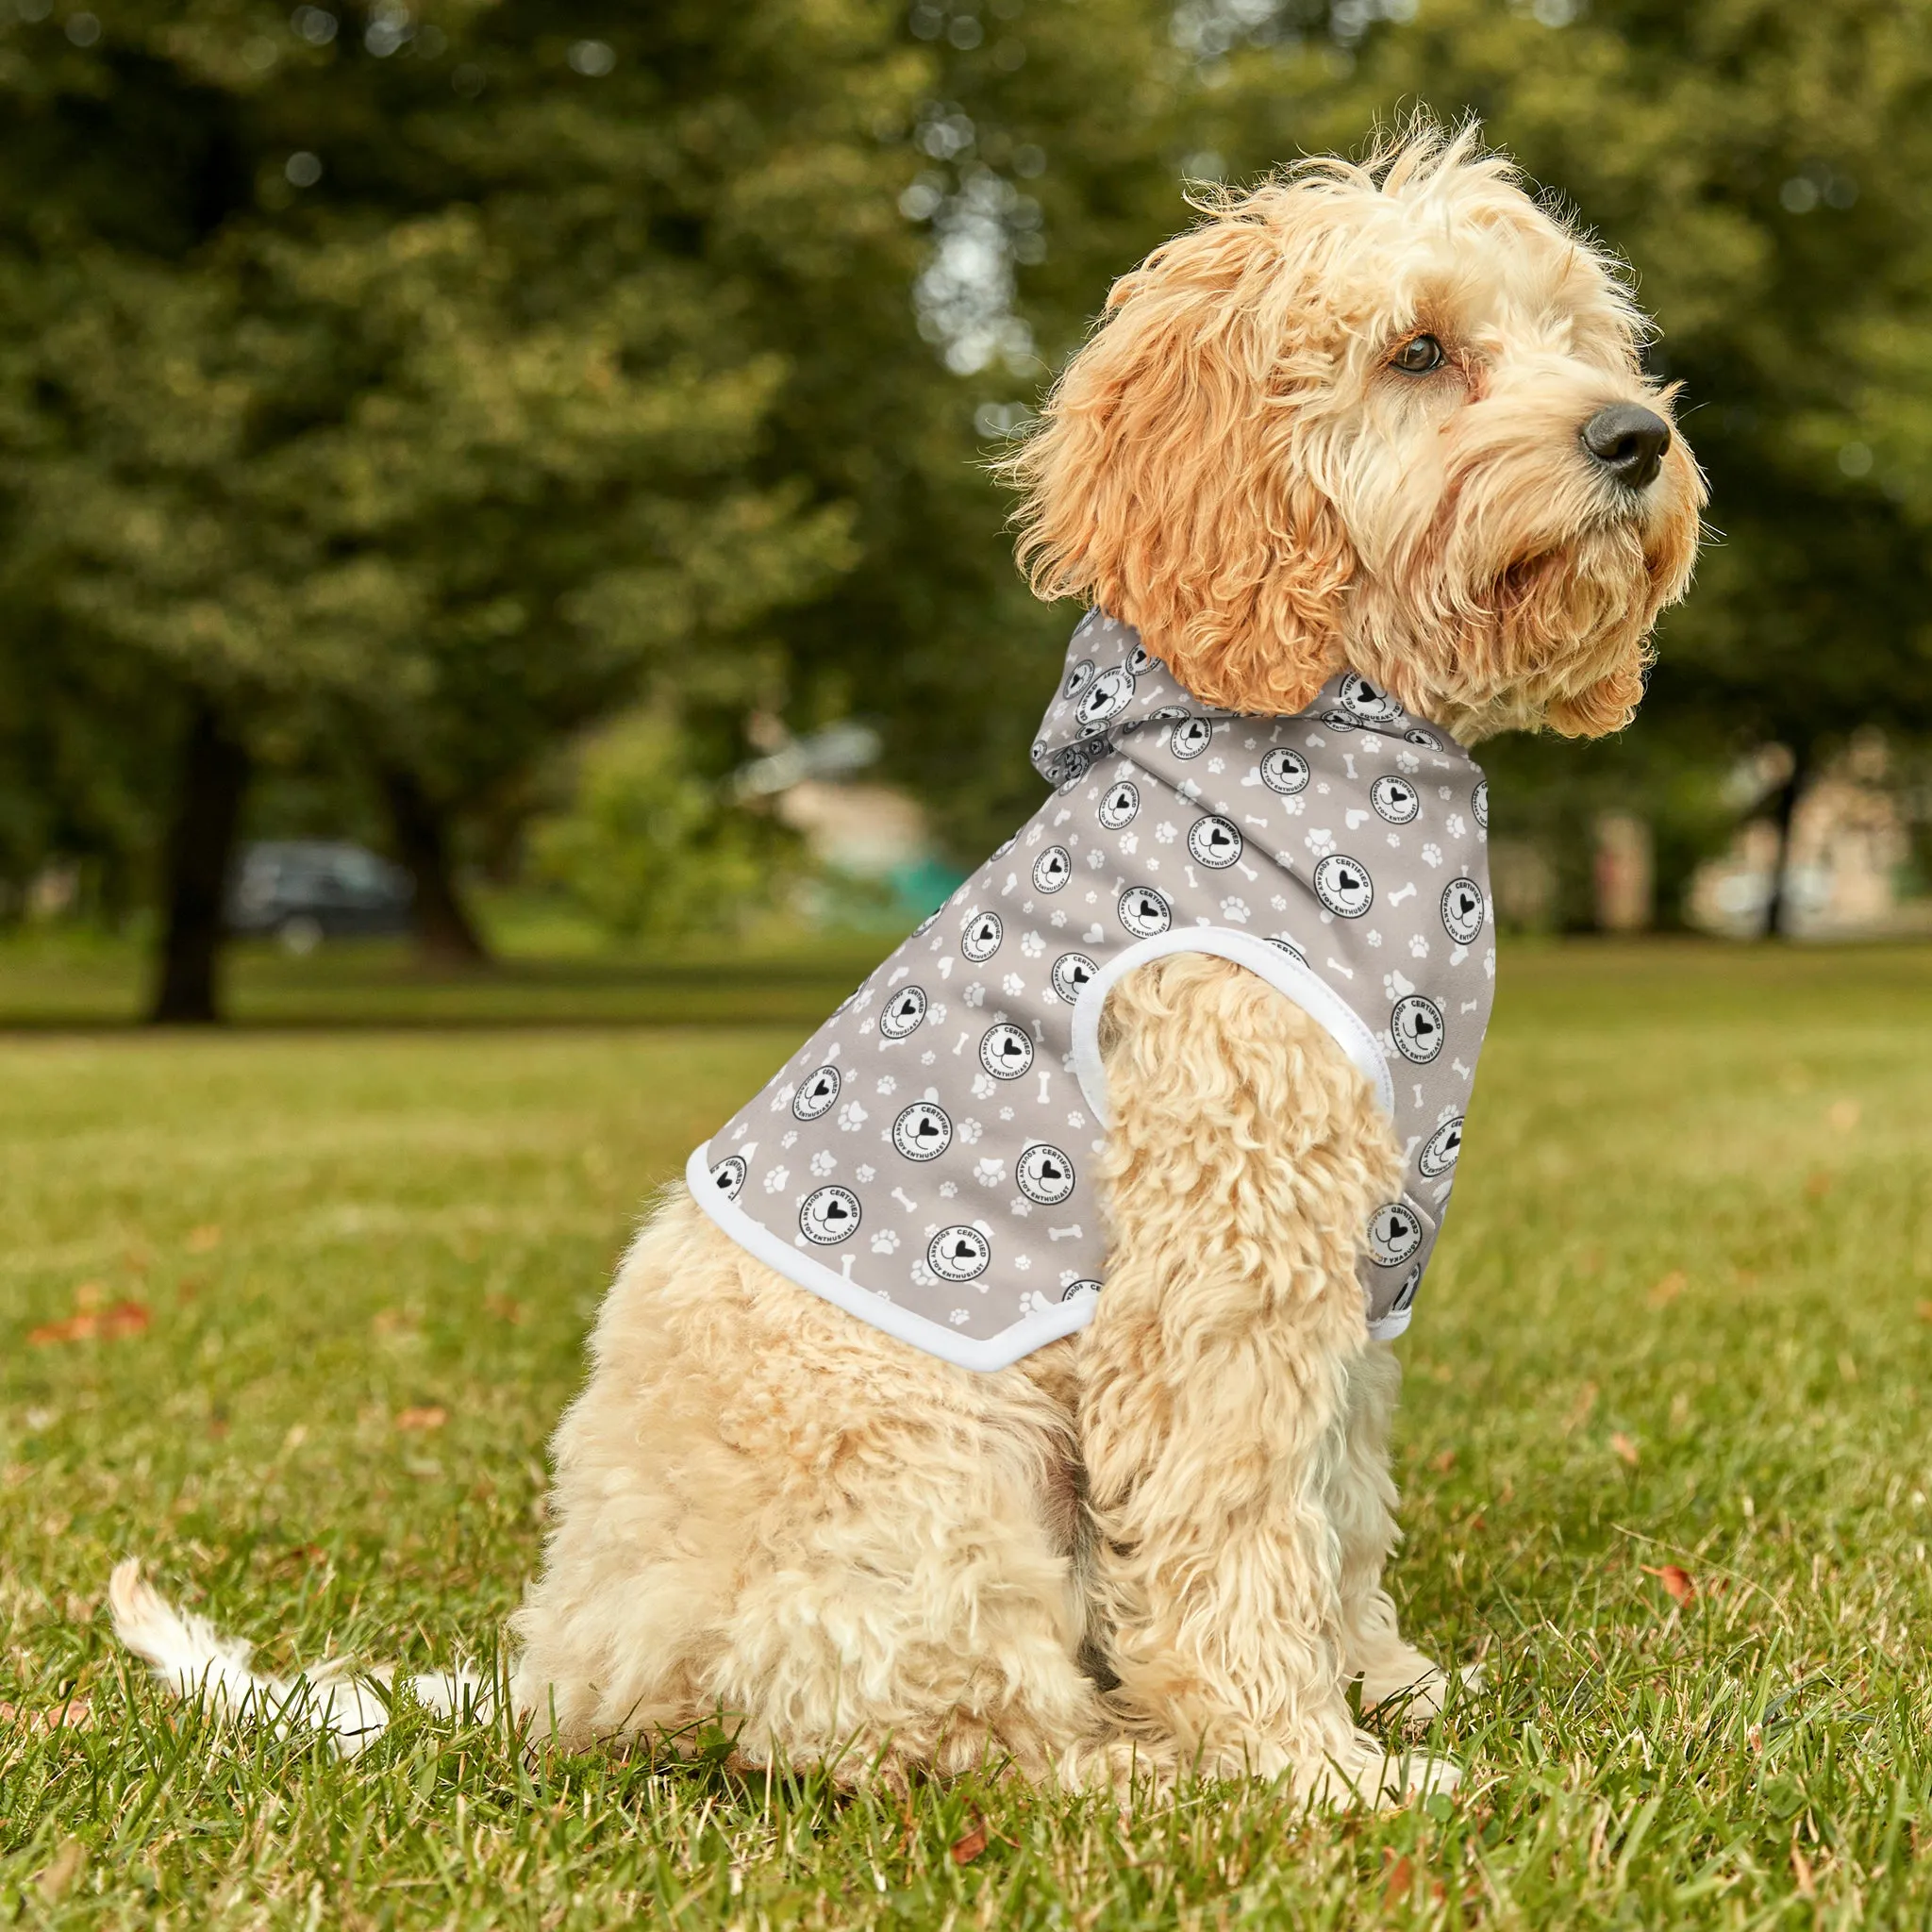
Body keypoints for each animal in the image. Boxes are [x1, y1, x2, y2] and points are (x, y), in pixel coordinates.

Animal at [112, 125, 1700, 1807]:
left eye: (1580, 338)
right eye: (1419, 352)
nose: (1636, 437)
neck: (1329, 734)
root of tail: (567, 1667)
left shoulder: (1357, 1270)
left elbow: (1337, 1505)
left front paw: (1387, 1688)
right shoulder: (1222, 1265)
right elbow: (1237, 1528)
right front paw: (1311, 1767)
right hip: (940, 1479)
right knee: (938, 1729)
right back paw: (1140, 1770)